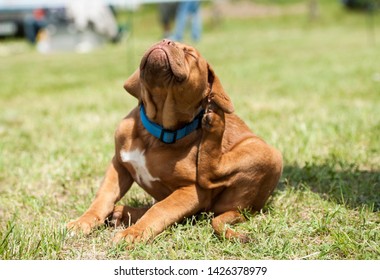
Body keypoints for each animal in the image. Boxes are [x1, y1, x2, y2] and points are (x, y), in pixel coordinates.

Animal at [67, 39, 282, 243]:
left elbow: (161, 209)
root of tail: (247, 209)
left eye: (190, 54)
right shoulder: (118, 164)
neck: (155, 132)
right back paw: (121, 213)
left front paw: (134, 233)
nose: (165, 41)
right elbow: (103, 197)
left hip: (268, 154)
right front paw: (83, 221)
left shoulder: (192, 191)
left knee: (209, 176)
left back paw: (216, 122)